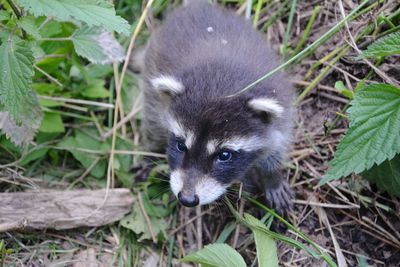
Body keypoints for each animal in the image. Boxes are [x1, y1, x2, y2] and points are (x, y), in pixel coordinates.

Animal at [134, 0, 294, 214]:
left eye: (224, 155)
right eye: (181, 145)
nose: (187, 199)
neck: (221, 86)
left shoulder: (282, 112)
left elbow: (276, 146)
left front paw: (272, 177)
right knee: (151, 120)